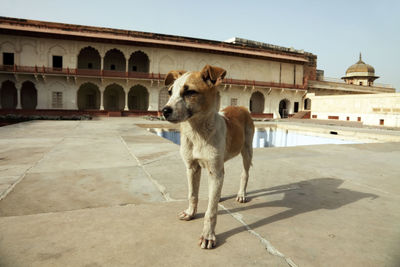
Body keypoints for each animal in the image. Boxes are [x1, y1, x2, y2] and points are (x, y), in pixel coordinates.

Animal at [162, 64, 253, 249]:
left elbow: (210, 212)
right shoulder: (192, 168)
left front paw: (208, 235)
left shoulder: (215, 171)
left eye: (190, 92)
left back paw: (241, 194)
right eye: (170, 92)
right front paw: (190, 213)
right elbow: (193, 195)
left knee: (245, 174)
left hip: (246, 151)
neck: (197, 133)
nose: (164, 111)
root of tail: (241, 107)